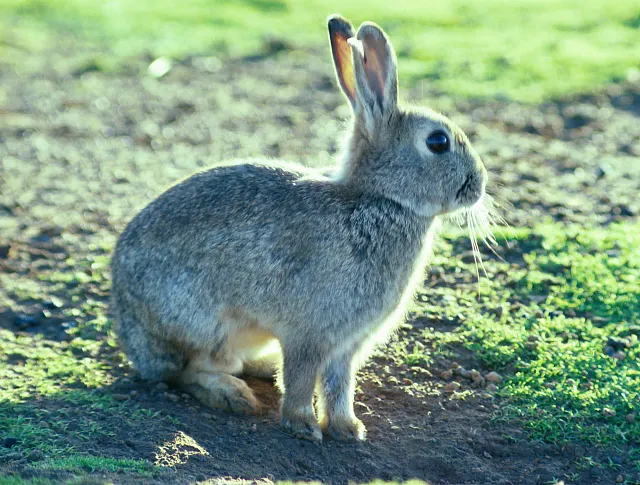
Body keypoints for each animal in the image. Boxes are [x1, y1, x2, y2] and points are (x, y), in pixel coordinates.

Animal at [110, 14, 487, 443]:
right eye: (438, 142)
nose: (479, 185)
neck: (377, 200)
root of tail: (125, 318)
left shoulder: (346, 345)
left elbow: (340, 384)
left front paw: (347, 428)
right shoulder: (308, 333)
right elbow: (302, 378)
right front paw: (303, 425)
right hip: (200, 324)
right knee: (186, 371)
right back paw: (231, 394)